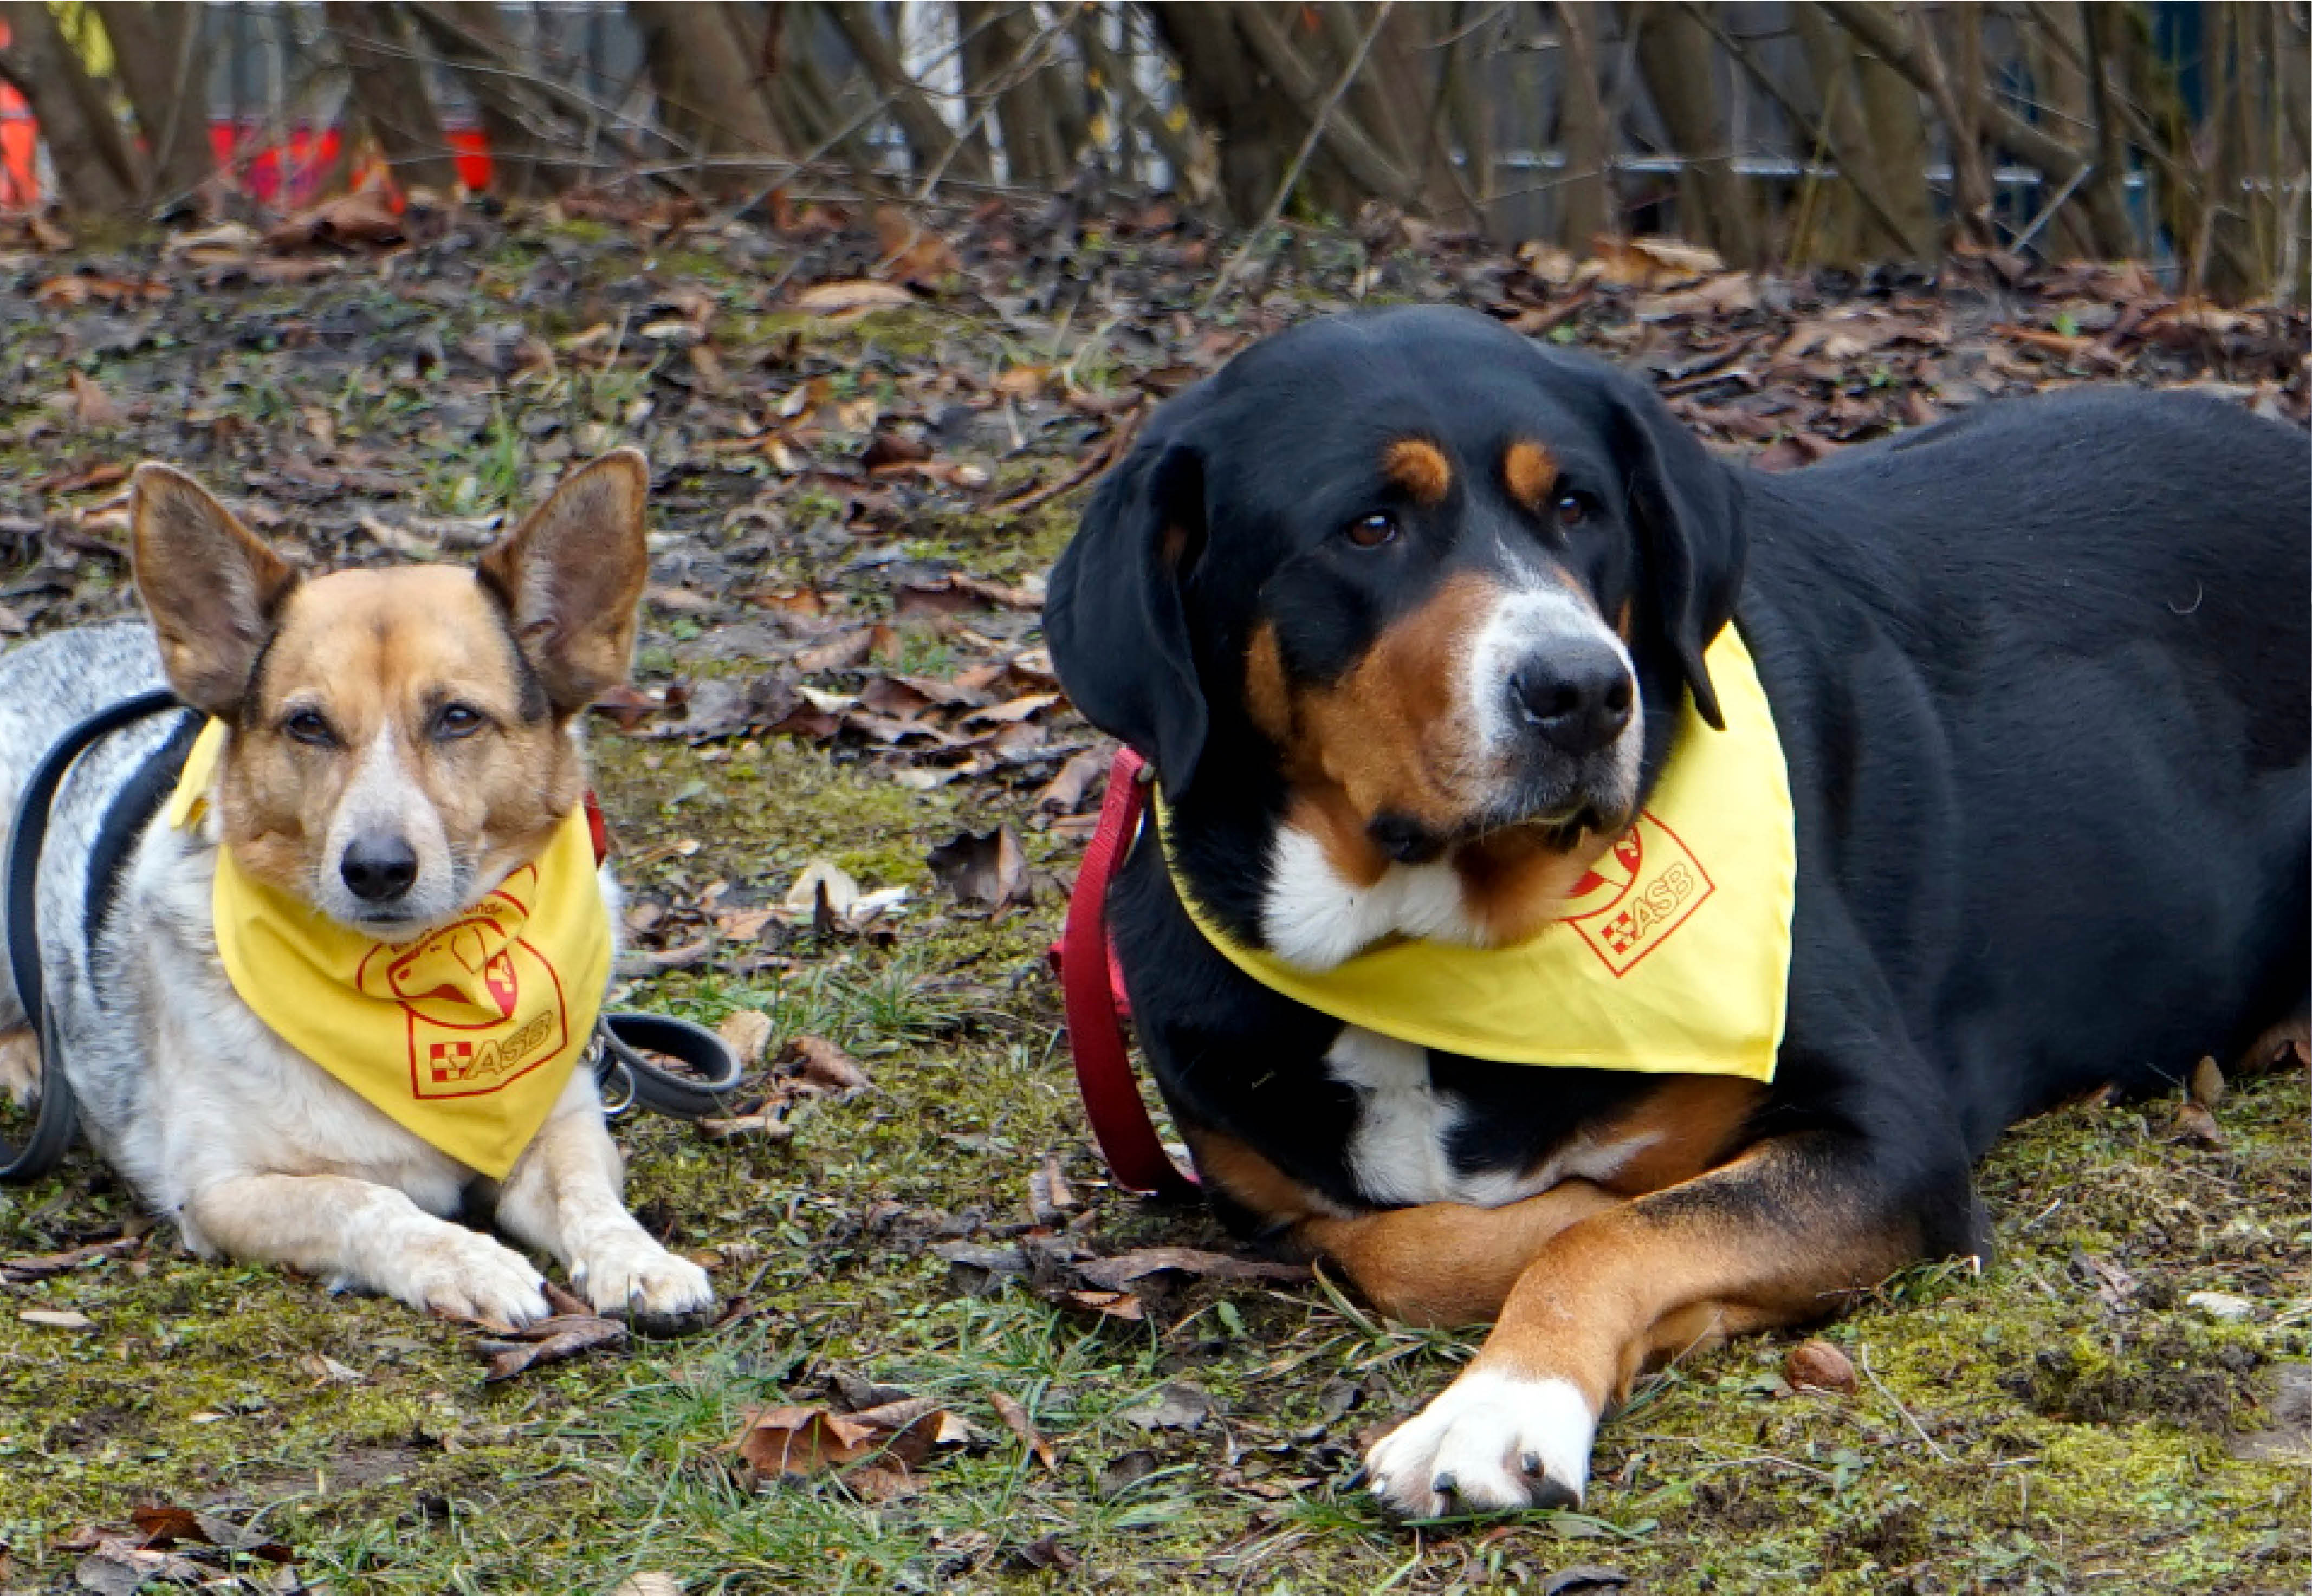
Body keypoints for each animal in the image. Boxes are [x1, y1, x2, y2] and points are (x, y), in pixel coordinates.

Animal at [0, 451, 712, 1332]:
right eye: (307, 725)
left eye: (457, 717)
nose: (375, 868)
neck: (411, 980)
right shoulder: (223, 1188)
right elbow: (366, 1202)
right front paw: (466, 1260)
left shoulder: (563, 1121)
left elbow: (590, 1199)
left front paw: (639, 1260)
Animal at [1045, 305, 2312, 1508]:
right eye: (1368, 527)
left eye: (1577, 506)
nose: (1581, 691)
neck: (1440, 947)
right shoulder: (1251, 1175)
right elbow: (1392, 1243)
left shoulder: (1893, 1136)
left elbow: (1602, 1228)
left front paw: (1500, 1400)